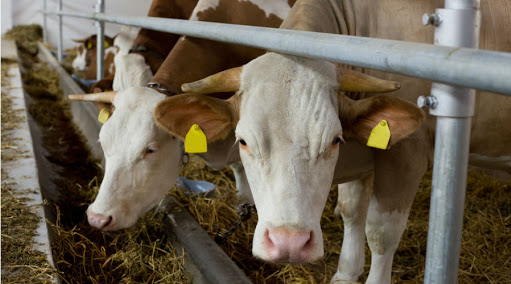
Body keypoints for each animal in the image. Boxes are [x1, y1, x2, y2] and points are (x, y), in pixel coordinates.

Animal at [153, 0, 511, 284]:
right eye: (242, 141)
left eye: (334, 140)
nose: (289, 244)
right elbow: (353, 211)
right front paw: (346, 273)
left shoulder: (406, 153)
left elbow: (381, 231)